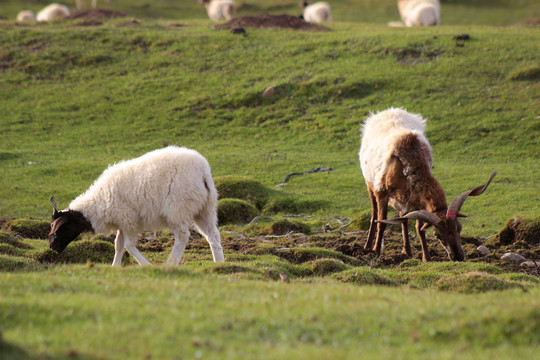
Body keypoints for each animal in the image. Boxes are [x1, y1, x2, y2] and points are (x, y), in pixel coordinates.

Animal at [49, 145, 225, 266]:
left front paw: (146, 265)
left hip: (179, 209)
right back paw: (219, 263)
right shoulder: (121, 222)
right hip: (205, 209)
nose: (52, 247)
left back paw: (171, 263)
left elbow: (128, 245)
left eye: (60, 228)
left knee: (182, 236)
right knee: (213, 235)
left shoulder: (128, 220)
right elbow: (118, 245)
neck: (96, 204)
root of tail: (203, 172)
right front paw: (115, 266)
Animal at [360, 107, 496, 262]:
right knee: (374, 214)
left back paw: (407, 251)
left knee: (403, 219)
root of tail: (389, 110)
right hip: (369, 184)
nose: (458, 256)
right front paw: (376, 252)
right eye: (437, 235)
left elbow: (419, 228)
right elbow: (381, 222)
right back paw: (368, 246)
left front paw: (426, 257)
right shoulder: (381, 192)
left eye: (459, 227)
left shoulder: (416, 200)